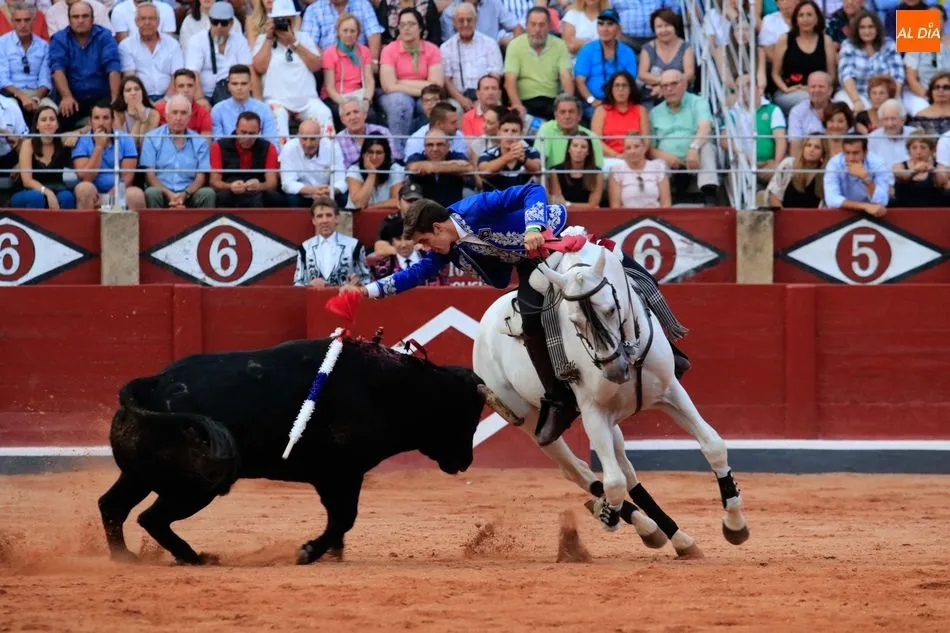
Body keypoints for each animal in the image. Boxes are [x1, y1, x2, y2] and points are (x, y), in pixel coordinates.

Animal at [473, 236, 750, 558]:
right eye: (573, 321)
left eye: (610, 309)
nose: (615, 370)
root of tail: (487, 321)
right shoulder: (594, 412)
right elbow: (613, 482)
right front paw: (609, 515)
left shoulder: (671, 392)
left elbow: (713, 445)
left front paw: (734, 524)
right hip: (529, 420)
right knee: (579, 470)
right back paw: (633, 521)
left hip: (614, 420)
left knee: (626, 471)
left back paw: (676, 537)